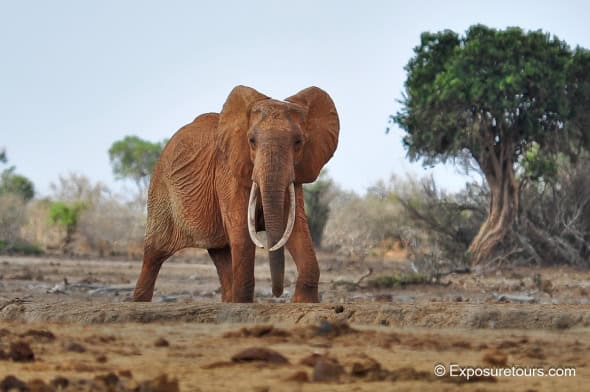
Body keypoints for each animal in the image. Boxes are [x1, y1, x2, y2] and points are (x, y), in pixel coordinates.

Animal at [132, 84, 340, 302]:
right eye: (251, 141)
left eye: (299, 142)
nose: (276, 293)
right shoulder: (227, 172)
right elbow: (242, 233)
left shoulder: (296, 175)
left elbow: (294, 229)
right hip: (161, 191)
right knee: (154, 253)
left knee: (221, 255)